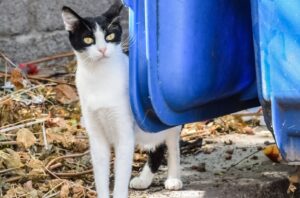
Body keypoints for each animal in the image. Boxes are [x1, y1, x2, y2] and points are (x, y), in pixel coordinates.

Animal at [61, 3, 182, 198]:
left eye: (110, 36)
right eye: (88, 39)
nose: (102, 50)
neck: (100, 77)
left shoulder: (124, 134)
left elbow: (121, 176)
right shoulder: (97, 137)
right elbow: (100, 175)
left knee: (172, 143)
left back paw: (173, 178)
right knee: (156, 145)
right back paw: (144, 179)